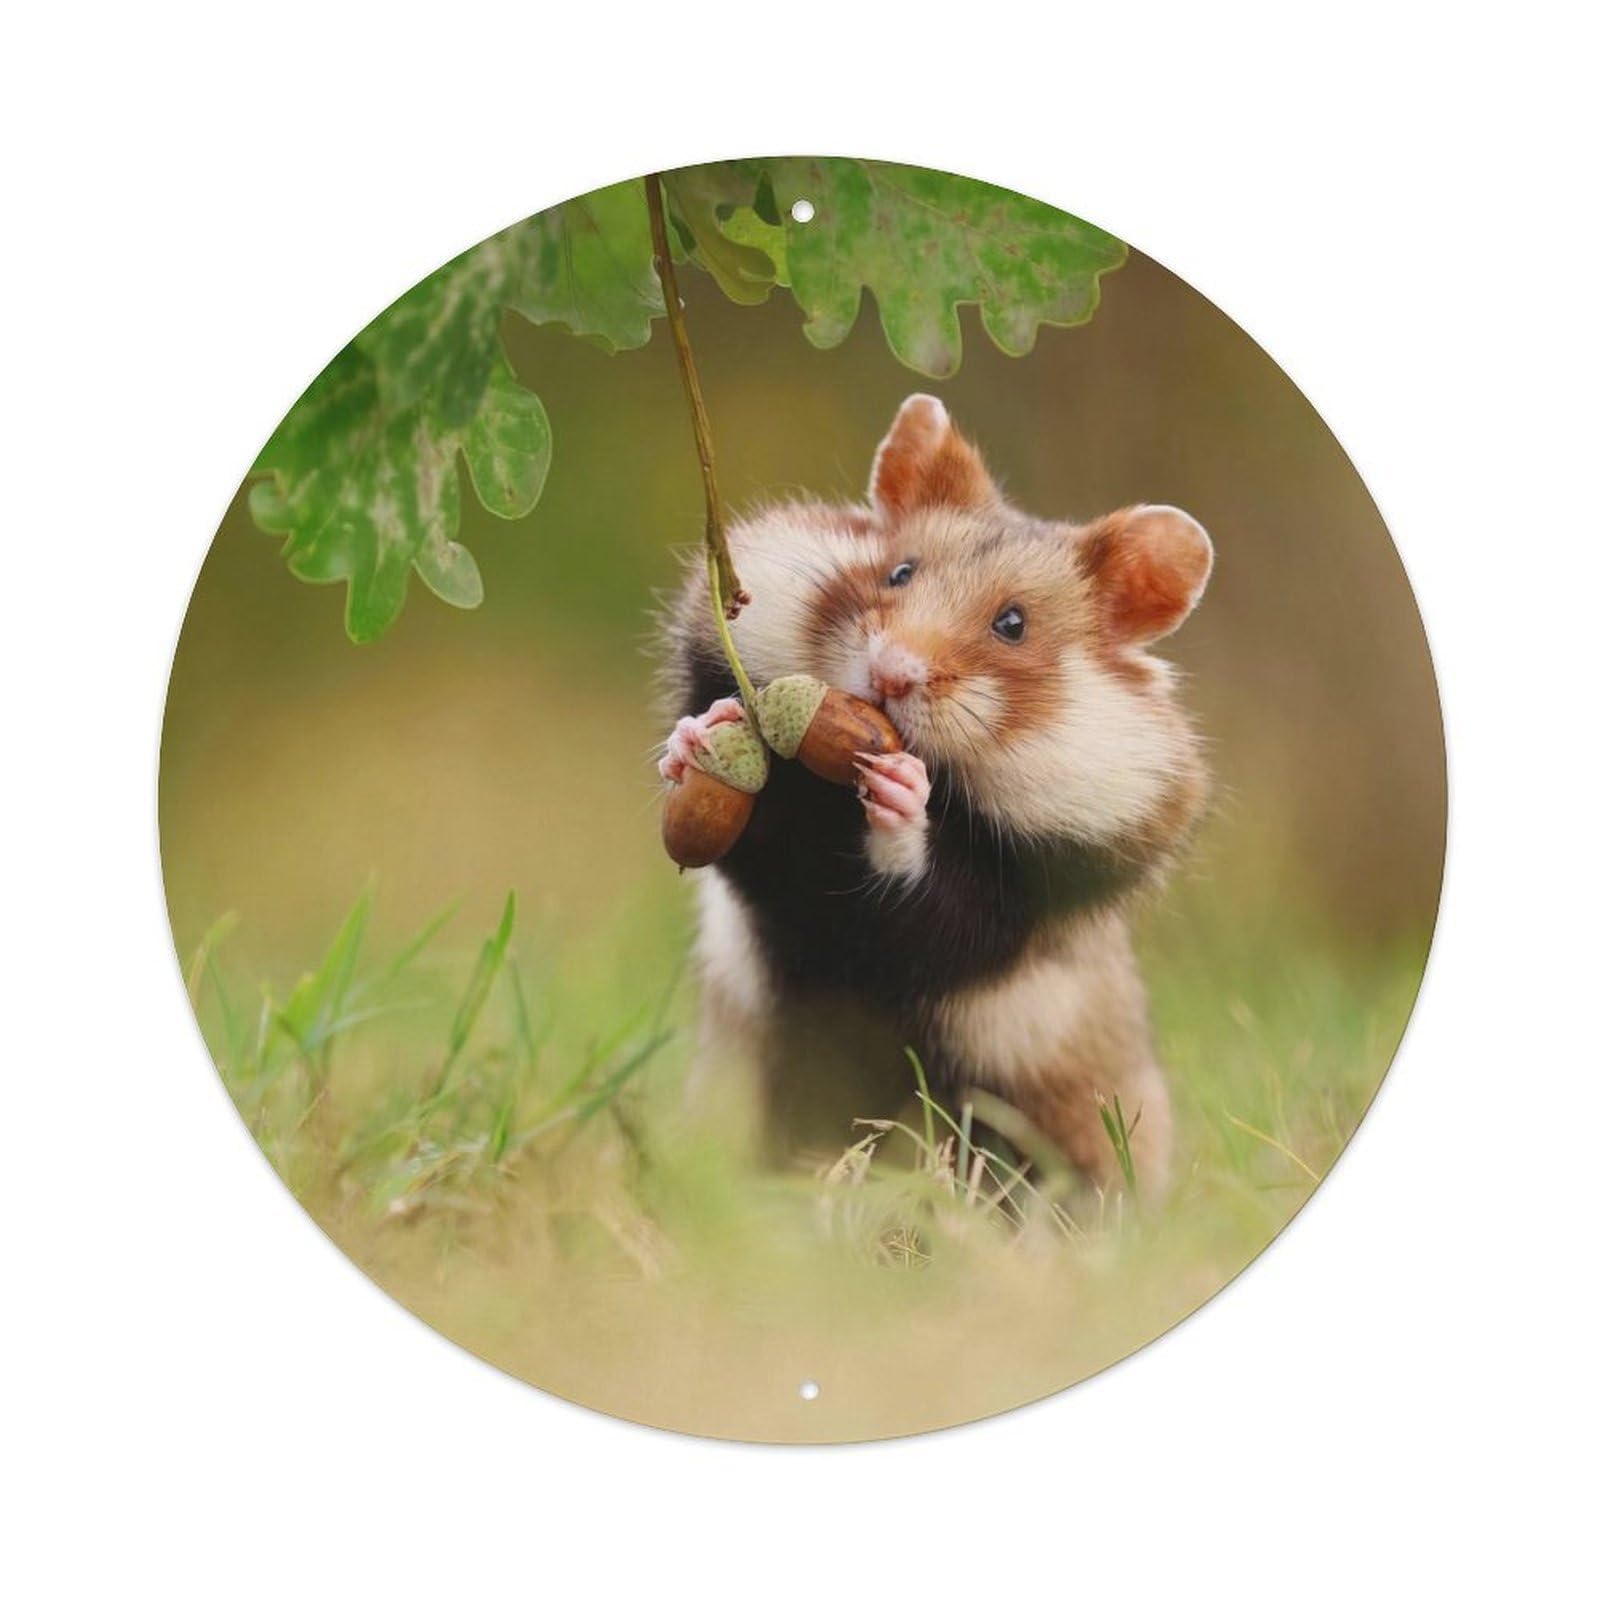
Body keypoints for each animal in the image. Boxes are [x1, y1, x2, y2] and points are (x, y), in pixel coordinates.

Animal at [658, 394, 1212, 1197]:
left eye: (1013, 625)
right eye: (898, 572)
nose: (890, 672)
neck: (834, 800)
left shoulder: (1015, 902)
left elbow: (932, 897)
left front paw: (903, 791)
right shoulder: (781, 874)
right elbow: (755, 836)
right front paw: (696, 738)